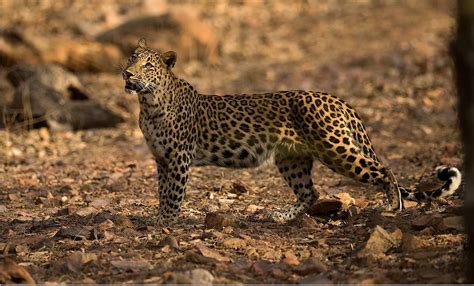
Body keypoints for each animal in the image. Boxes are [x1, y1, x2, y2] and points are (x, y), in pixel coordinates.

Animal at [122, 38, 462, 226]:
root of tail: (338, 100)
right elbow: (163, 190)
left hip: (337, 149)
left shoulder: (178, 157)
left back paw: (392, 206)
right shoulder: (161, 159)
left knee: (384, 169)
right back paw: (281, 216)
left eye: (148, 65)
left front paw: (166, 221)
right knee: (311, 192)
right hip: (291, 158)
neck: (148, 103)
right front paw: (159, 216)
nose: (126, 73)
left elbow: (174, 193)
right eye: (131, 58)